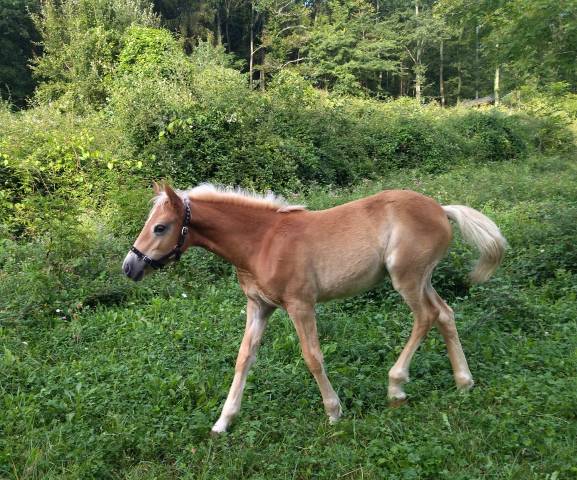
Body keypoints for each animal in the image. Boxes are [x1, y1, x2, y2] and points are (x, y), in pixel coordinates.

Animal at [121, 182, 504, 434]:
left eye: (160, 227)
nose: (130, 267)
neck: (261, 241)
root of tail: (441, 209)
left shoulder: (300, 305)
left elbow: (312, 357)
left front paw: (334, 411)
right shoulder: (259, 307)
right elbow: (244, 358)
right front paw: (223, 421)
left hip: (406, 278)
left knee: (426, 316)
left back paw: (396, 386)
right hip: (422, 279)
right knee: (445, 314)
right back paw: (463, 381)